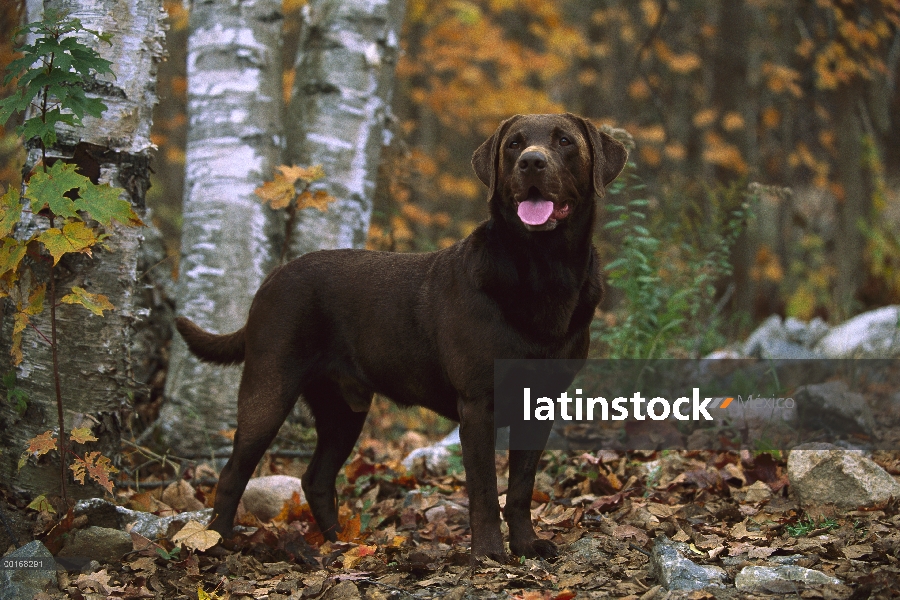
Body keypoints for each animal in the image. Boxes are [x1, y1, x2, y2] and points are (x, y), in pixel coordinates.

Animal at [176, 113, 624, 564]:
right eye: (514, 144)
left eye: (564, 141)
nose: (532, 162)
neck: (544, 270)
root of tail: (270, 280)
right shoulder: (478, 404)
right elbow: (483, 491)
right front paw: (488, 553)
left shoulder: (540, 403)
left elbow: (521, 487)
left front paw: (528, 545)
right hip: (269, 388)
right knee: (233, 472)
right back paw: (215, 543)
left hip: (343, 409)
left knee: (316, 478)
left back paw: (343, 544)